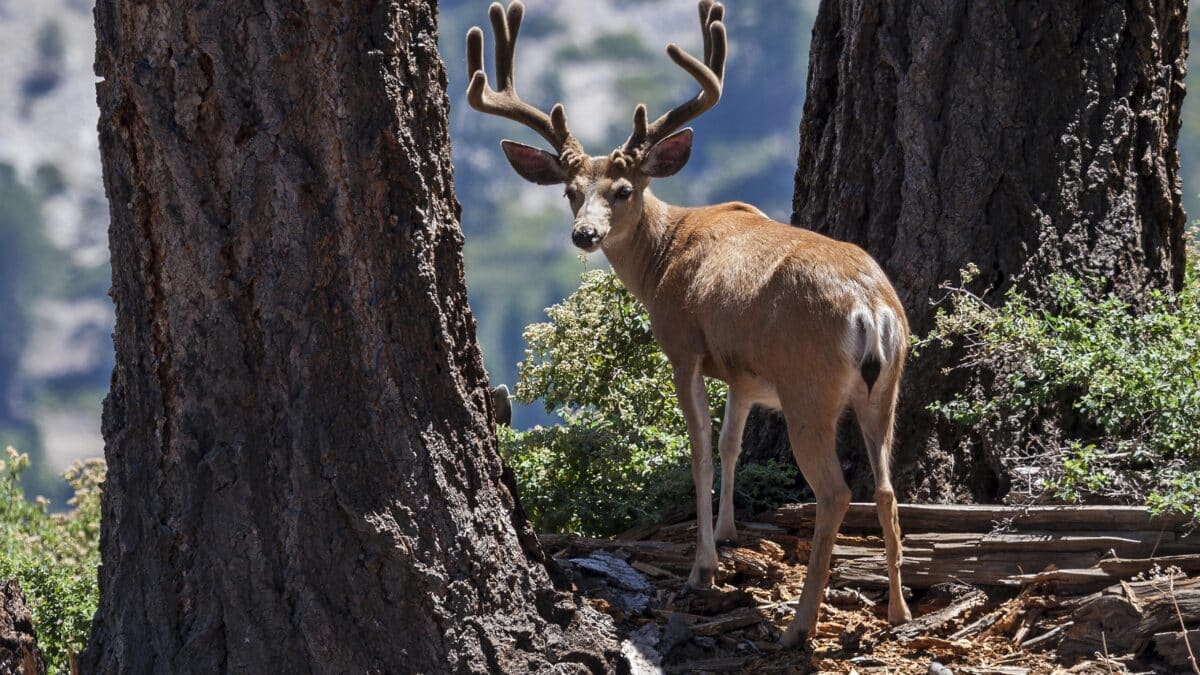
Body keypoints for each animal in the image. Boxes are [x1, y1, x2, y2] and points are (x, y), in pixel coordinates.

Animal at [463, 0, 912, 643]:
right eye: (571, 191)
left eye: (623, 189)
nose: (584, 234)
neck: (664, 256)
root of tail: (870, 308)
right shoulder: (743, 373)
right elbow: (729, 444)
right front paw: (726, 534)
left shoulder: (682, 344)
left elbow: (699, 450)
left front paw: (704, 566)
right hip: (887, 386)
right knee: (885, 487)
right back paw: (898, 610)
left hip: (809, 386)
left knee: (835, 492)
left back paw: (798, 627)